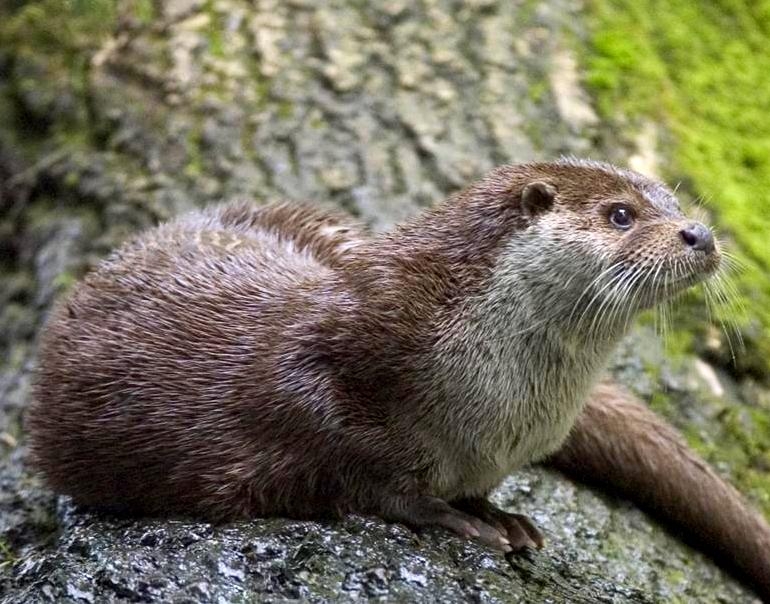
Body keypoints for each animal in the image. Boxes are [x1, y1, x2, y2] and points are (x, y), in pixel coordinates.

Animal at [27, 159, 770, 598]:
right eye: (620, 214)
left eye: (675, 201)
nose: (700, 234)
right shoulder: (323, 378)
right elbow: (356, 471)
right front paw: (455, 517)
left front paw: (498, 512)